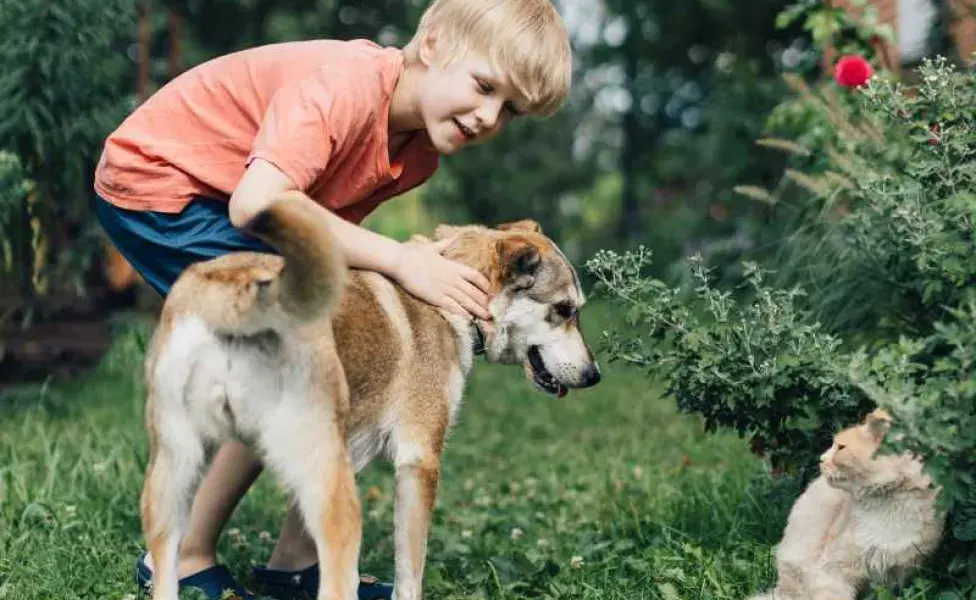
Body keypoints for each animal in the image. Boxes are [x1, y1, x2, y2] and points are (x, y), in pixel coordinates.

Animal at [140, 192, 600, 600]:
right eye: (564, 309)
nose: (594, 376)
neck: (454, 293)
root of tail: (242, 294)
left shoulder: (351, 450)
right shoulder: (418, 462)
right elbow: (410, 574)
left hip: (173, 477)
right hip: (335, 494)